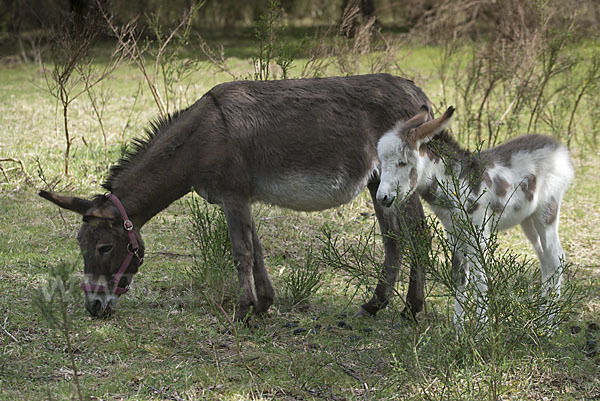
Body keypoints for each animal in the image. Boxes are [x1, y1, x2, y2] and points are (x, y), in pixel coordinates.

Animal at [378, 106, 576, 332]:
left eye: (402, 162)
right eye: (382, 162)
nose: (382, 198)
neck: (456, 185)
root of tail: (558, 147)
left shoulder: (478, 233)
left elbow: (481, 278)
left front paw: (482, 332)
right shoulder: (454, 234)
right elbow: (460, 277)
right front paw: (459, 333)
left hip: (547, 211)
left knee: (557, 258)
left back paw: (548, 328)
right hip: (529, 220)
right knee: (546, 261)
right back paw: (541, 321)